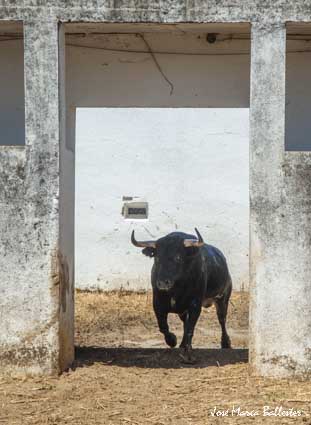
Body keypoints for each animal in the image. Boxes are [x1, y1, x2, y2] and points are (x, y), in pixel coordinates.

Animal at [131, 229, 232, 362]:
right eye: (157, 258)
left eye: (178, 257)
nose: (162, 282)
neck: (176, 289)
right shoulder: (157, 304)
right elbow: (163, 326)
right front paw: (173, 340)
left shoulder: (195, 305)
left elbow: (190, 329)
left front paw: (188, 354)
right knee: (185, 322)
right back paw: (182, 344)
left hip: (223, 298)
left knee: (222, 319)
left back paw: (226, 343)